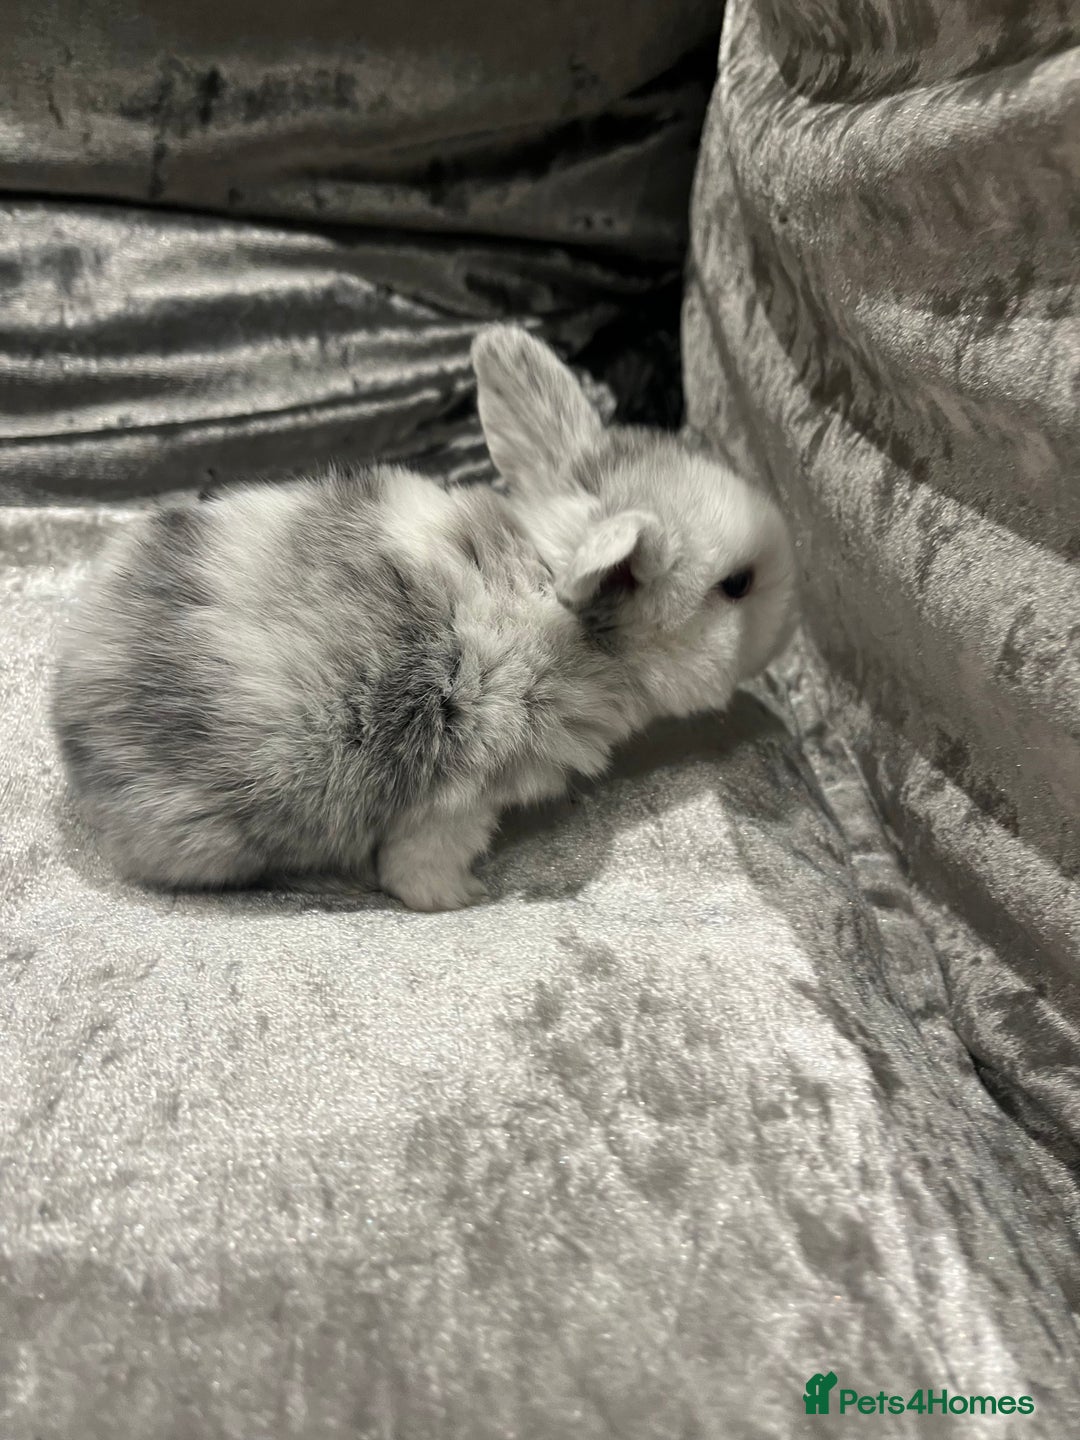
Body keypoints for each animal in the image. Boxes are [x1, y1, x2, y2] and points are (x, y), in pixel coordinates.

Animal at [51, 325, 797, 911]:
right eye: (736, 585)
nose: (788, 633)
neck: (561, 616)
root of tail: (69, 714)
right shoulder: (458, 798)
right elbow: (418, 872)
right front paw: (465, 899)